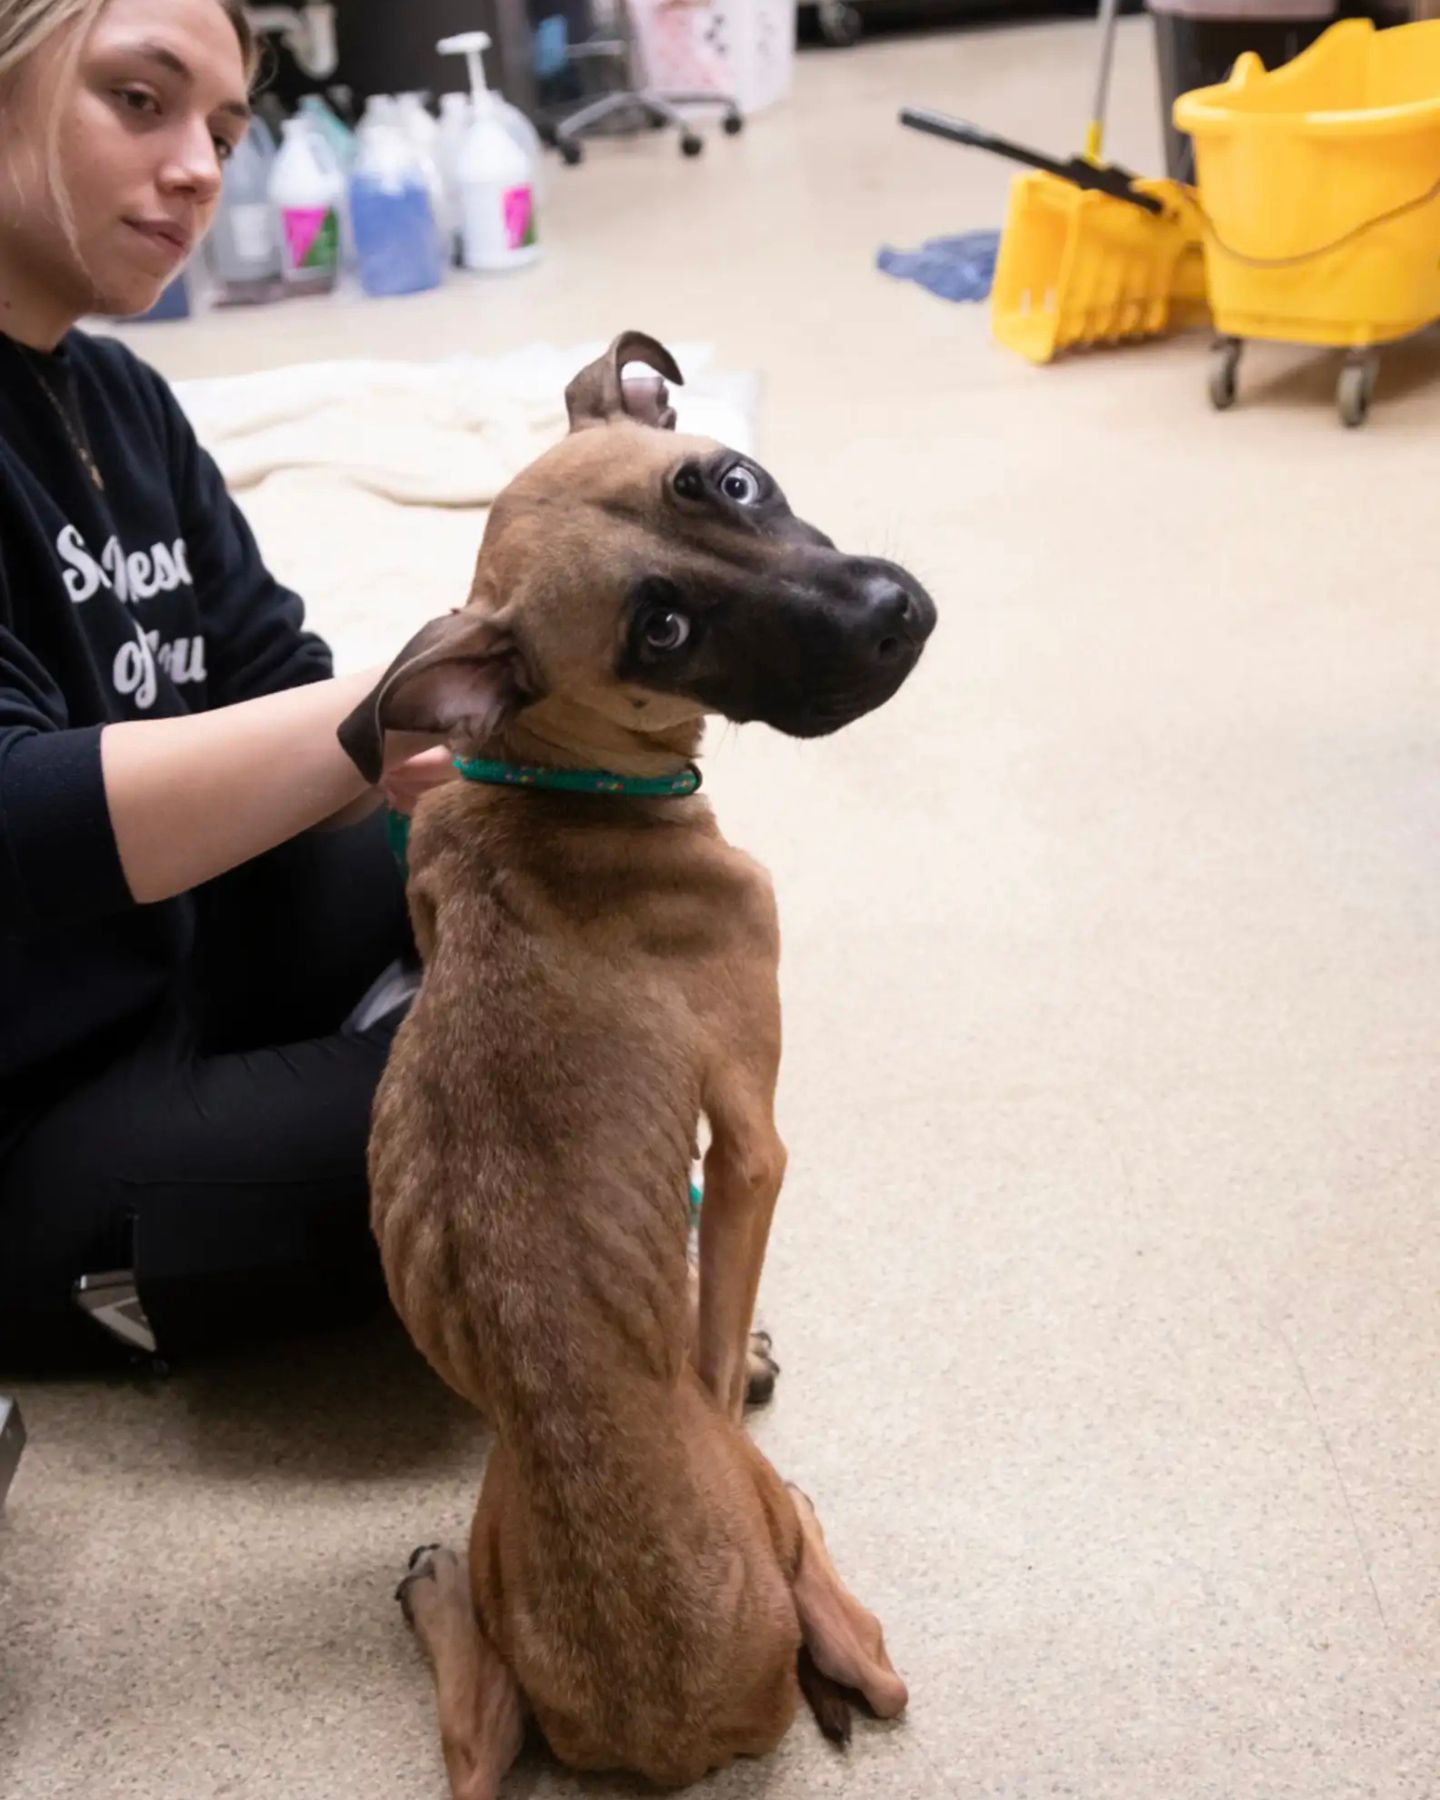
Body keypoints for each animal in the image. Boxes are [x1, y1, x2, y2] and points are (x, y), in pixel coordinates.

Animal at [338, 331, 936, 1792]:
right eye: (659, 628)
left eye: (731, 479)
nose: (896, 611)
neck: (555, 786)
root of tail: (663, 1730)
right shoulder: (758, 1143)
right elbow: (720, 1314)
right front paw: (741, 1352)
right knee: (867, 1663)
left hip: (495, 1526)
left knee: (482, 1743)